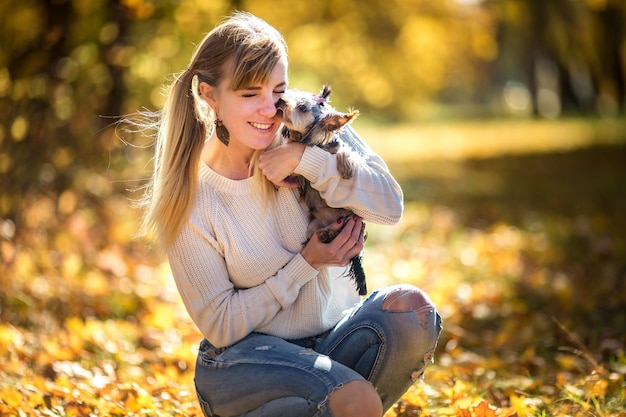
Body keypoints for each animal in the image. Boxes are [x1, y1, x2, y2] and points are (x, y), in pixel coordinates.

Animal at [272, 84, 366, 294]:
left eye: (303, 108)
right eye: (288, 95)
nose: (280, 100)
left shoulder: (337, 147)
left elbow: (346, 151)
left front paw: (346, 167)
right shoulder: (296, 175)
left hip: (351, 218)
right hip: (313, 226)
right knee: (316, 235)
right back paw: (326, 234)